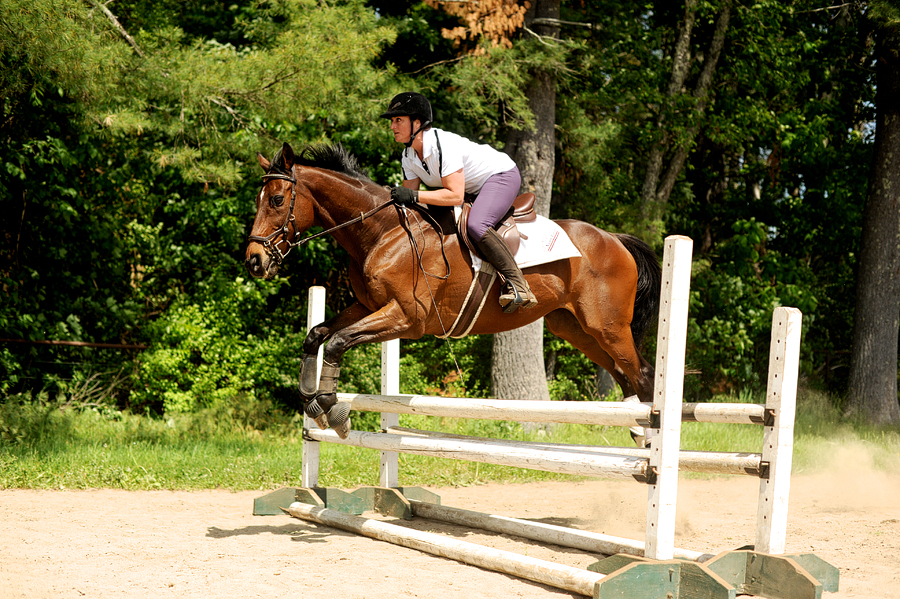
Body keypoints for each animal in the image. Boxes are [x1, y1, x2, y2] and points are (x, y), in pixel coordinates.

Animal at [246, 141, 660, 440]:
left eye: (277, 200)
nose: (254, 261)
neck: (382, 232)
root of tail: (614, 239)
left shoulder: (407, 317)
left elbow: (336, 342)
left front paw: (331, 407)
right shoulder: (367, 306)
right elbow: (317, 335)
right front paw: (310, 398)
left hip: (608, 327)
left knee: (642, 375)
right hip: (575, 328)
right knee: (624, 376)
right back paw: (637, 432)